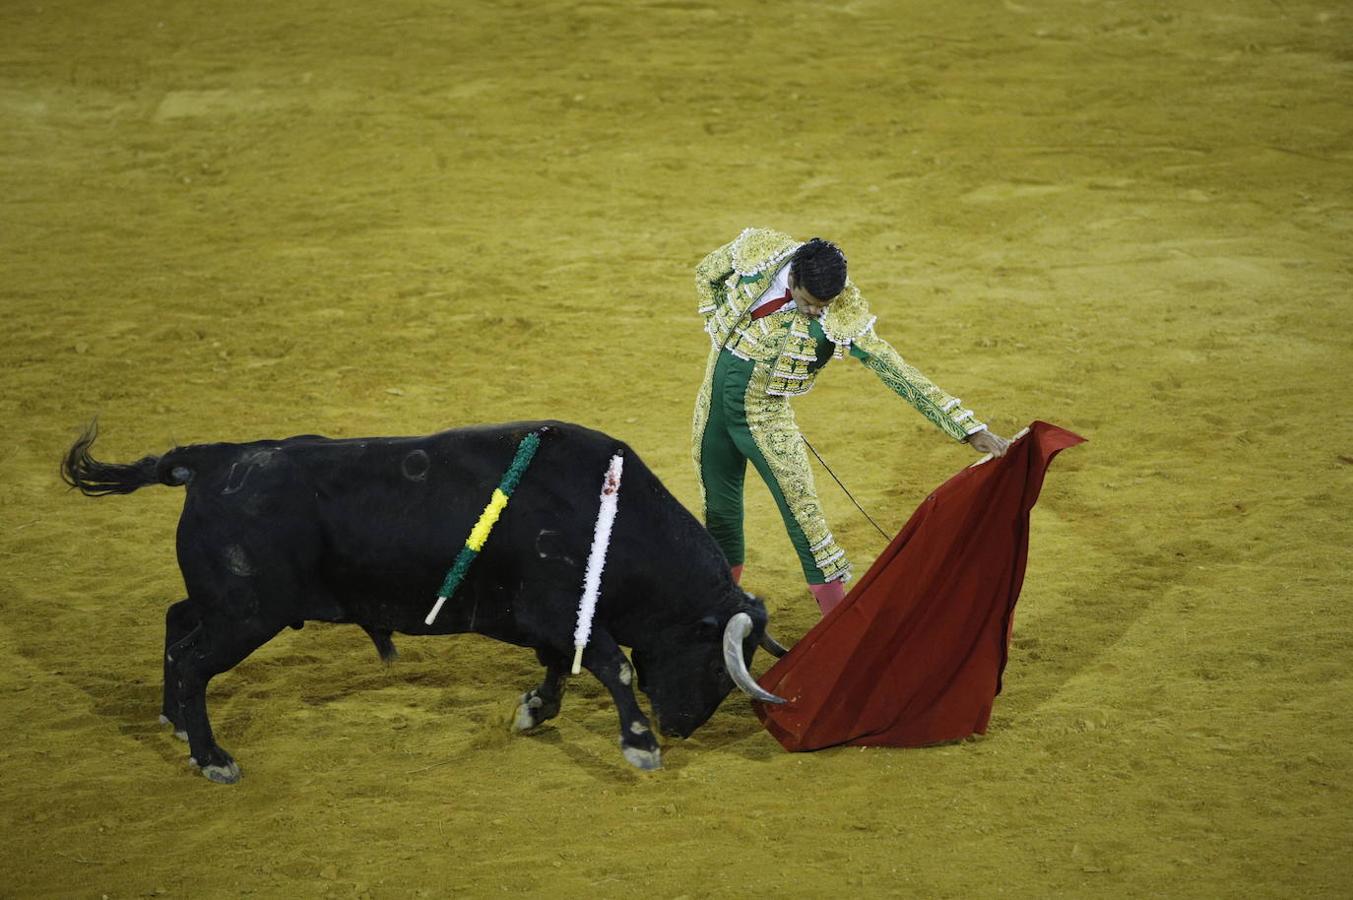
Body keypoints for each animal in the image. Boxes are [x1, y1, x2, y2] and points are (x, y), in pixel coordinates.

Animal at [63, 422, 784, 779]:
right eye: (716, 659)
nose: (680, 727)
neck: (606, 513)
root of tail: (212, 460)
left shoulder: (550, 620)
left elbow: (563, 664)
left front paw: (533, 710)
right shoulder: (559, 610)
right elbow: (615, 665)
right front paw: (638, 745)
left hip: (224, 606)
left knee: (176, 627)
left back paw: (179, 725)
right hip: (246, 614)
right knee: (191, 661)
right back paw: (212, 757)